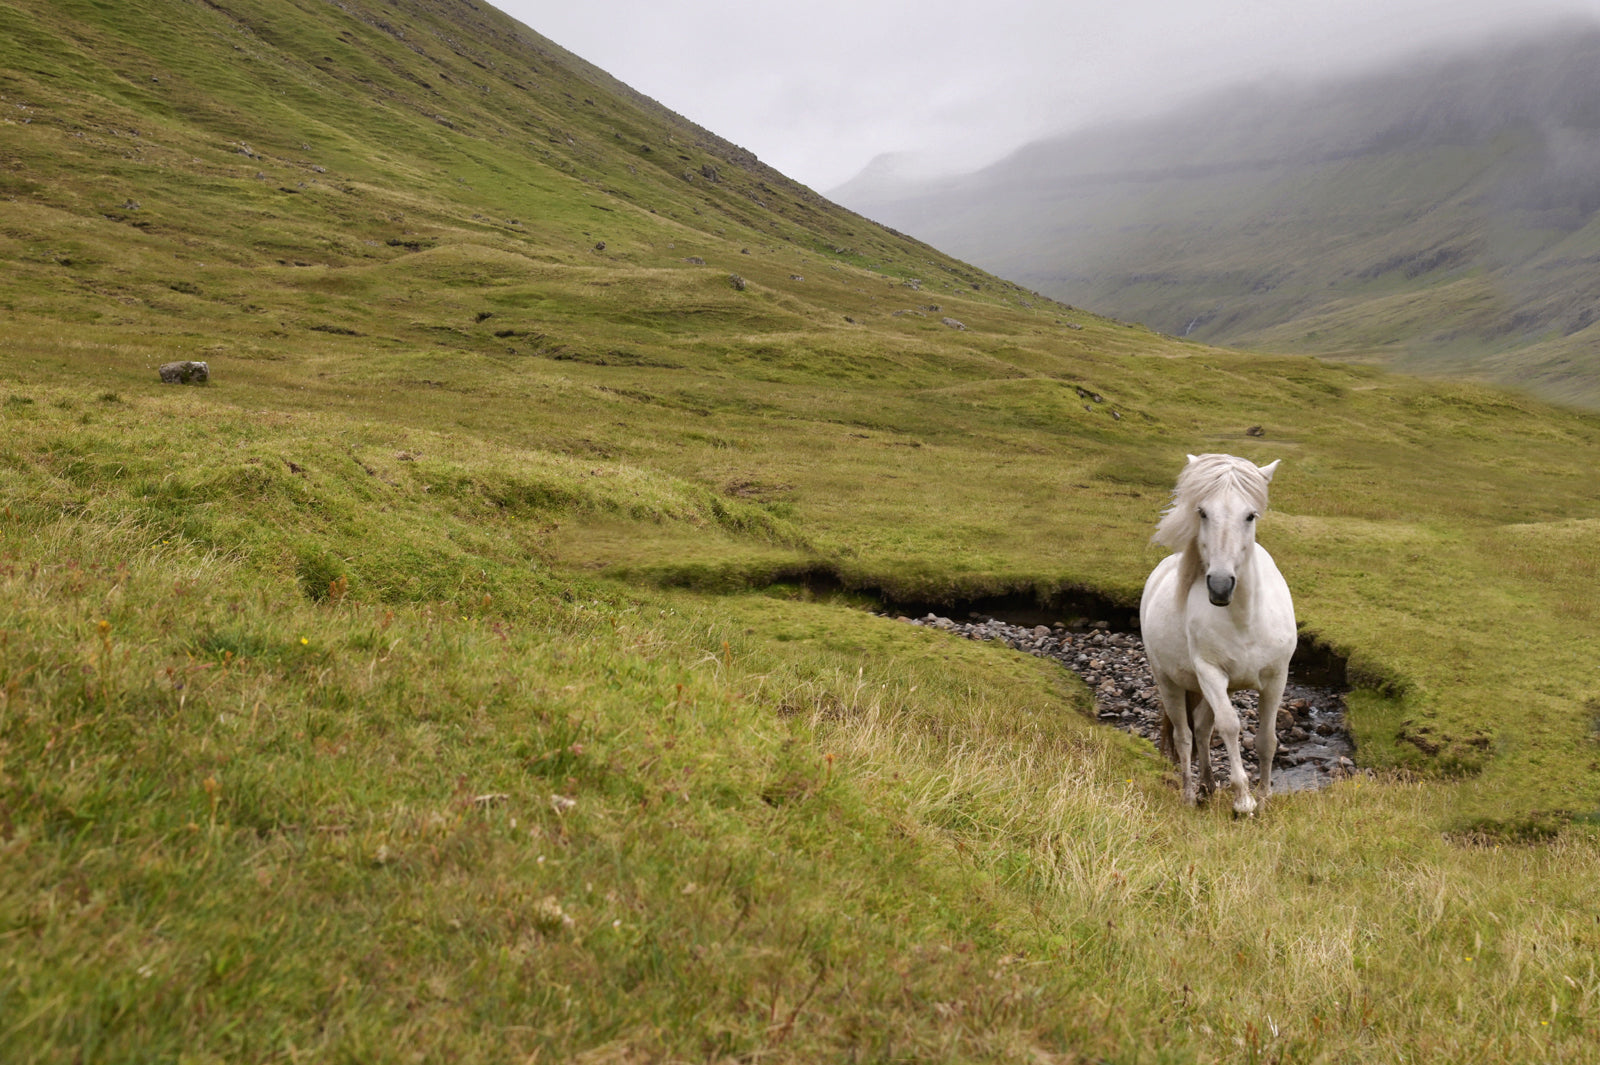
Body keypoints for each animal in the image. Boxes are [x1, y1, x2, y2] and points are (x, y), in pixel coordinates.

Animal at [1139, 450, 1299, 812]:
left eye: (1250, 515)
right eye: (1202, 512)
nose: (1221, 585)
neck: (1245, 619)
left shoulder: (1276, 677)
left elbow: (1267, 738)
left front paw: (1265, 796)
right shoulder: (1211, 673)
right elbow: (1229, 725)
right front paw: (1243, 799)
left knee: (1200, 728)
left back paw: (1208, 786)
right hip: (1168, 682)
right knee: (1185, 736)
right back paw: (1189, 794)